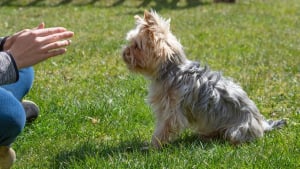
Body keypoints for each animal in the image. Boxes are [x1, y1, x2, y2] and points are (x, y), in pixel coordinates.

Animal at [122, 10, 286, 148]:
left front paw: (153, 147)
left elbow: (163, 129)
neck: (171, 69)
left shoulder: (171, 111)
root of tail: (262, 125)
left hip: (236, 130)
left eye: (136, 46)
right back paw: (206, 136)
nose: (123, 53)